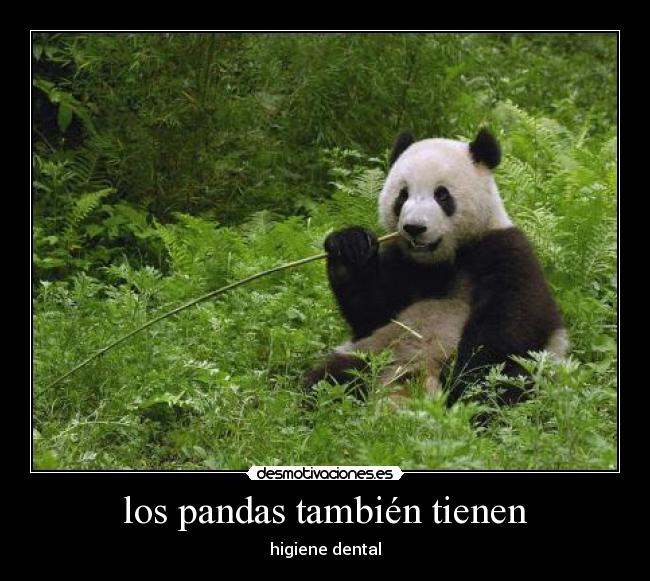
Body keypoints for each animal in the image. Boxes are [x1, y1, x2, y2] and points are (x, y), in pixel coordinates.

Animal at [305, 128, 568, 407]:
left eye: (442, 195)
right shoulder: (402, 264)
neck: (442, 261)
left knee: (504, 383)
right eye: (402, 195)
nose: (414, 228)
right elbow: (370, 312)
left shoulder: (504, 251)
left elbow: (509, 323)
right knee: (331, 378)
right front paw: (350, 246)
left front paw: (463, 376)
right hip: (375, 351)